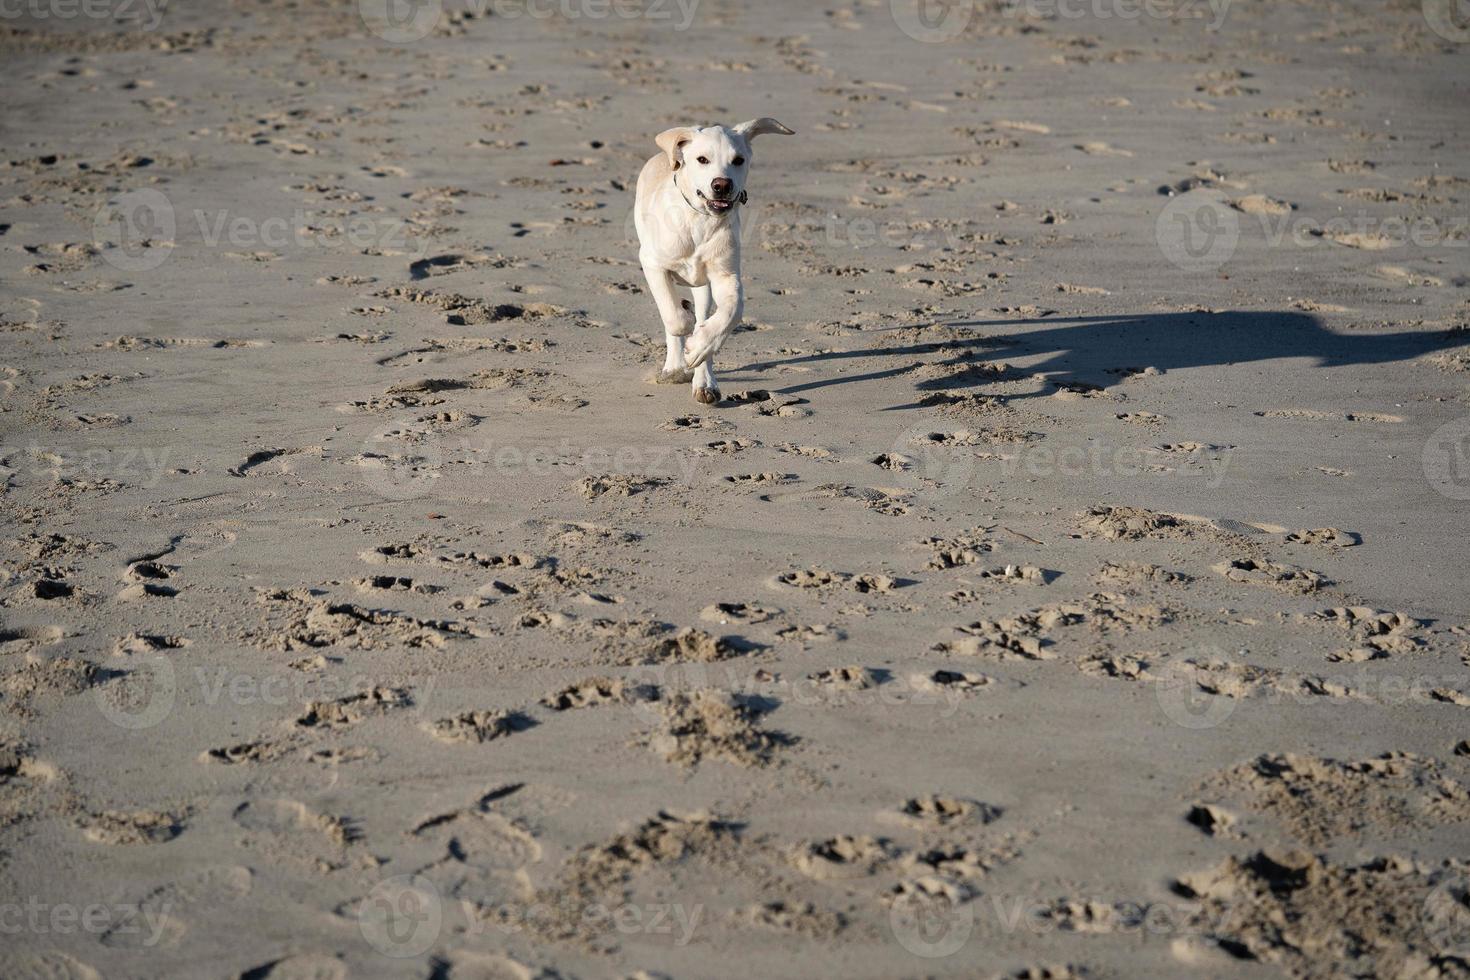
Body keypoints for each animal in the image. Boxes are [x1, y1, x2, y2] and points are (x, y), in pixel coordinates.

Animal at [632, 117, 793, 402]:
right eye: (702, 159)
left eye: (738, 160)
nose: (722, 185)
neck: (700, 220)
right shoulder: (651, 262)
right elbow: (674, 317)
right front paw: (683, 328)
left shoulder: (726, 275)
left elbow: (731, 312)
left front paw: (699, 347)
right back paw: (675, 366)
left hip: (703, 286)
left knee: (704, 315)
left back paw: (705, 381)